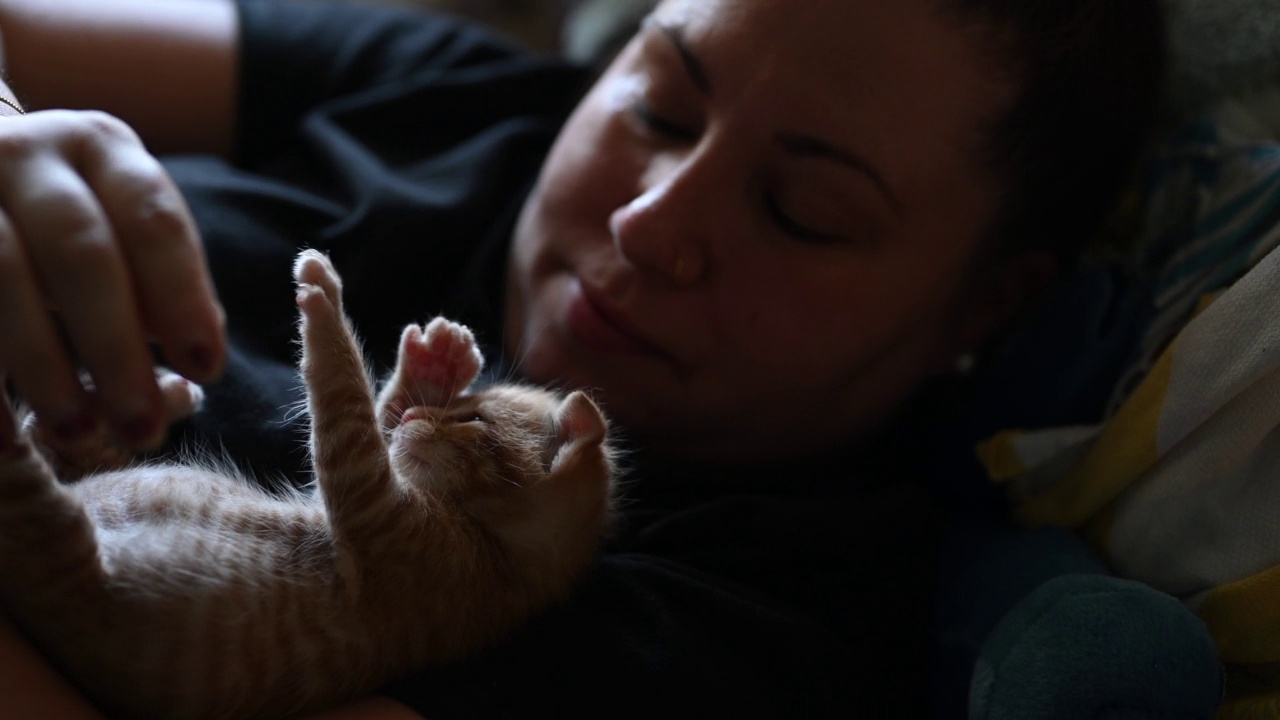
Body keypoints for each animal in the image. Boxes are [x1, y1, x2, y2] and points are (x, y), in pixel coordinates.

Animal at [0, 248, 614, 717]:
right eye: (458, 407)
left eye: (474, 420)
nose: (422, 414)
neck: (494, 547)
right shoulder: (352, 490)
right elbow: (376, 413)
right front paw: (433, 364)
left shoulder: (374, 505)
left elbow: (347, 400)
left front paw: (326, 299)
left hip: (54, 538)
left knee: (26, 472)